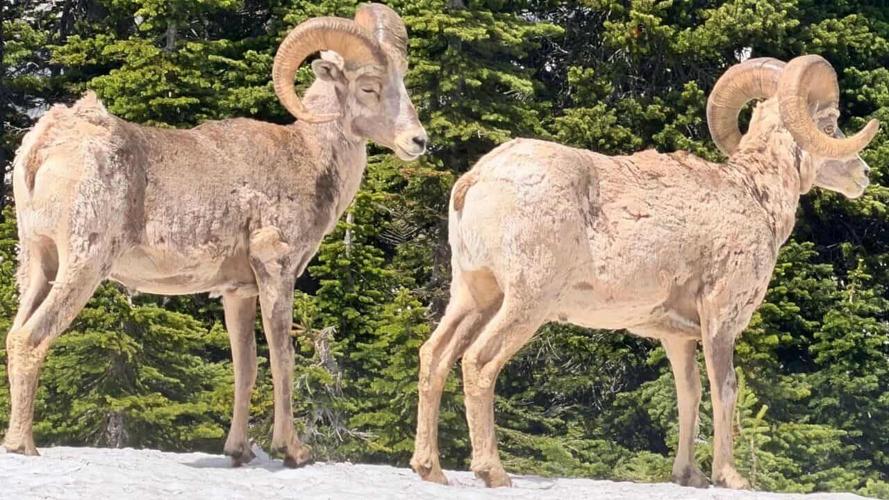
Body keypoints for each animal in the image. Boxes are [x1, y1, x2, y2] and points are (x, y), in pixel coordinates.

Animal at [3, 3, 427, 468]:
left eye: (403, 81)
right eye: (369, 87)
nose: (418, 141)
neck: (309, 157)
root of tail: (44, 146)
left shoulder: (237, 292)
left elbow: (245, 367)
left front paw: (239, 452)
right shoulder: (276, 270)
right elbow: (282, 359)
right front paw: (294, 452)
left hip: (38, 264)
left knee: (13, 335)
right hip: (82, 265)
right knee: (30, 338)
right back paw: (23, 445)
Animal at [410, 55, 879, 489]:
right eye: (830, 121)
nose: (864, 174)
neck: (755, 195)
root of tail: (475, 180)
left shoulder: (678, 336)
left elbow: (688, 393)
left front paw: (689, 475)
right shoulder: (721, 319)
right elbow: (724, 389)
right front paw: (730, 477)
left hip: (475, 296)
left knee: (435, 356)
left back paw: (430, 469)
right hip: (526, 303)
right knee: (478, 362)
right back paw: (493, 472)